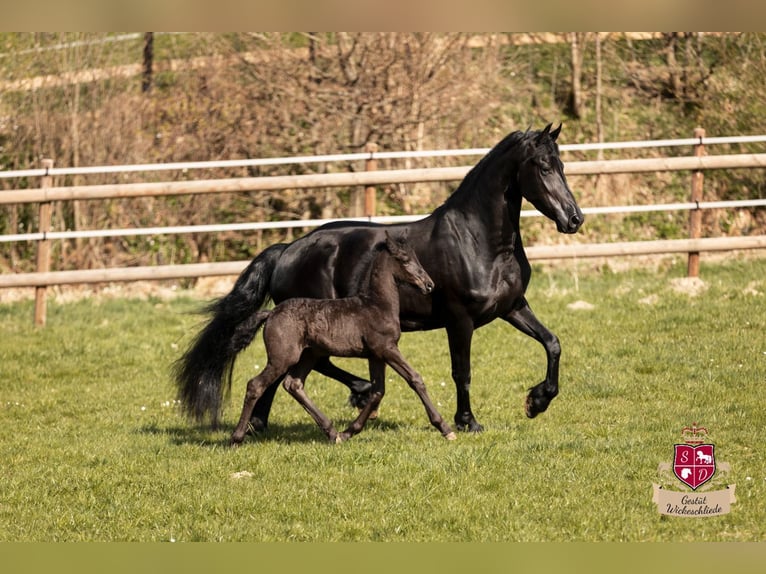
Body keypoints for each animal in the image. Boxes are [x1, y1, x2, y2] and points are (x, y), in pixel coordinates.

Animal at [229, 232, 456, 445]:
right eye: (404, 259)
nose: (429, 285)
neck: (377, 305)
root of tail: (271, 313)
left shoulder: (376, 355)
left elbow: (378, 392)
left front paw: (349, 431)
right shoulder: (387, 348)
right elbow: (415, 379)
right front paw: (445, 428)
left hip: (308, 355)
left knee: (293, 384)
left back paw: (332, 432)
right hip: (282, 358)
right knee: (255, 385)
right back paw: (236, 438)